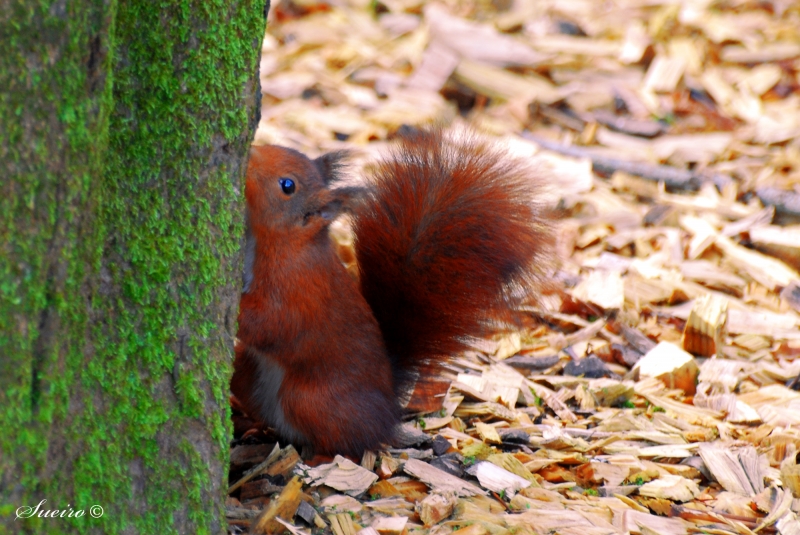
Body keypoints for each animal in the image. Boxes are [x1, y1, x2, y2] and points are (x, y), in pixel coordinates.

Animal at [231, 127, 552, 454]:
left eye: (287, 185)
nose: (252, 152)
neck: (284, 244)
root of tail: (389, 404)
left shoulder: (300, 288)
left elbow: (273, 324)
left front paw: (238, 311)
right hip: (248, 375)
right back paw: (255, 428)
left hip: (310, 400)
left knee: (346, 443)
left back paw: (315, 459)